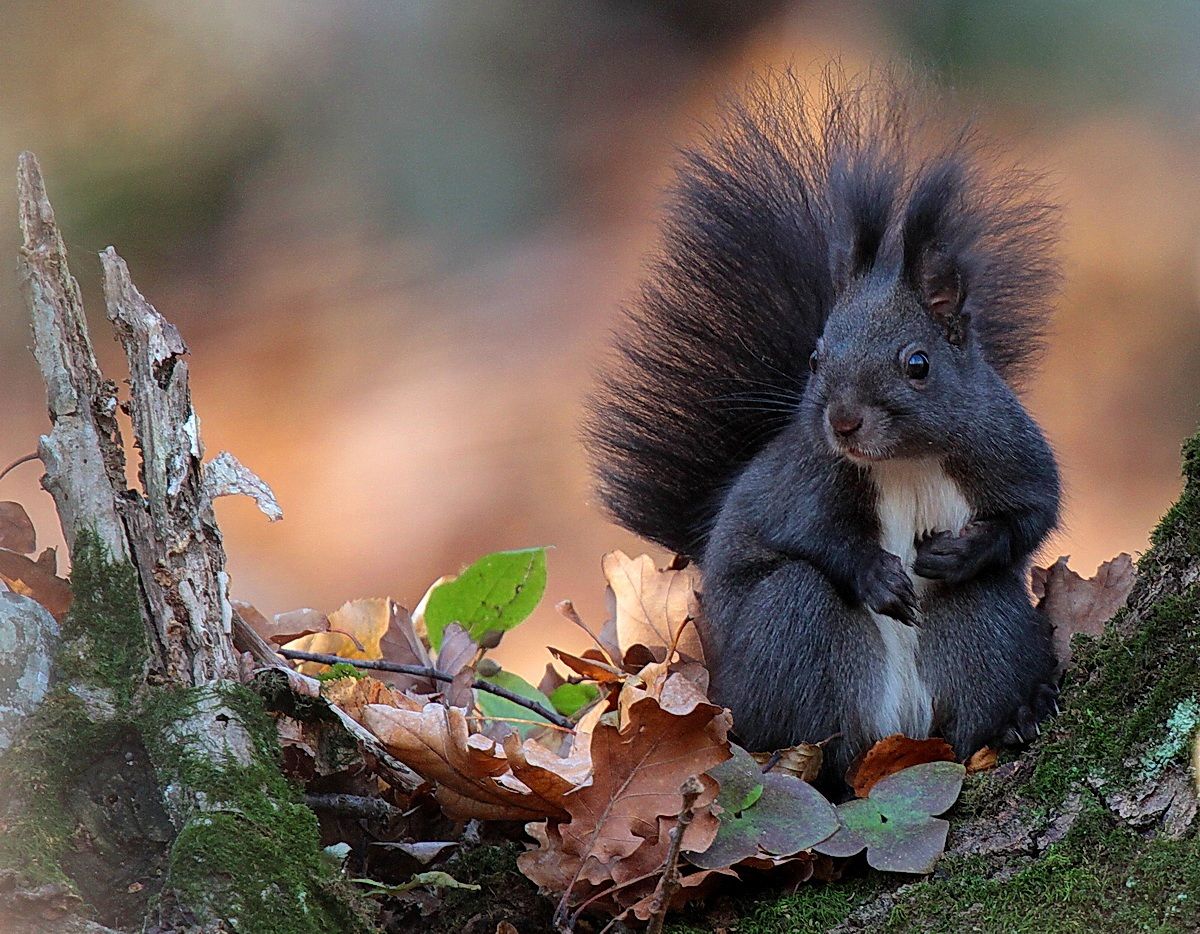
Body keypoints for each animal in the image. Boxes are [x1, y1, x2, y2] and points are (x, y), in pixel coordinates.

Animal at [584, 70, 1062, 779]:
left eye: (918, 364)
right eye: (815, 358)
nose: (842, 422)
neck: (904, 461)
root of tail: (899, 732)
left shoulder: (1006, 446)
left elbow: (1032, 513)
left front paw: (964, 549)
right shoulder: (801, 478)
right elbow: (801, 531)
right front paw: (875, 574)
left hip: (985, 625)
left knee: (979, 640)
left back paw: (1016, 717)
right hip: (791, 631)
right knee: (805, 653)